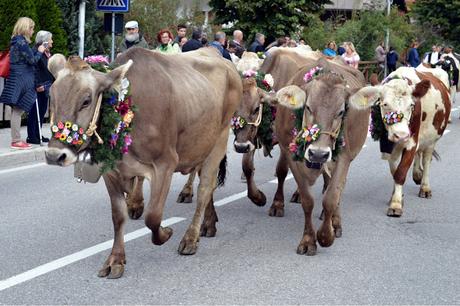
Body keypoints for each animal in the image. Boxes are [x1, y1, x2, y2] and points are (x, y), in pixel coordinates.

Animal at [45, 47, 243, 278]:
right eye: (51, 97)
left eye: (86, 100)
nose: (54, 155)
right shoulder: (110, 171)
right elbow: (118, 216)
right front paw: (115, 260)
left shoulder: (165, 163)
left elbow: (153, 216)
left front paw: (166, 233)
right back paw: (209, 223)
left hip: (219, 138)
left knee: (204, 189)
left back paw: (190, 239)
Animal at [368, 66, 452, 218]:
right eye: (385, 104)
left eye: (412, 105)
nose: (401, 135)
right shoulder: (389, 146)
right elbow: (395, 171)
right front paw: (397, 197)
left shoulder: (411, 142)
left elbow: (401, 172)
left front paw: (395, 205)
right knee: (419, 155)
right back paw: (417, 174)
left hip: (432, 139)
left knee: (426, 159)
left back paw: (425, 187)